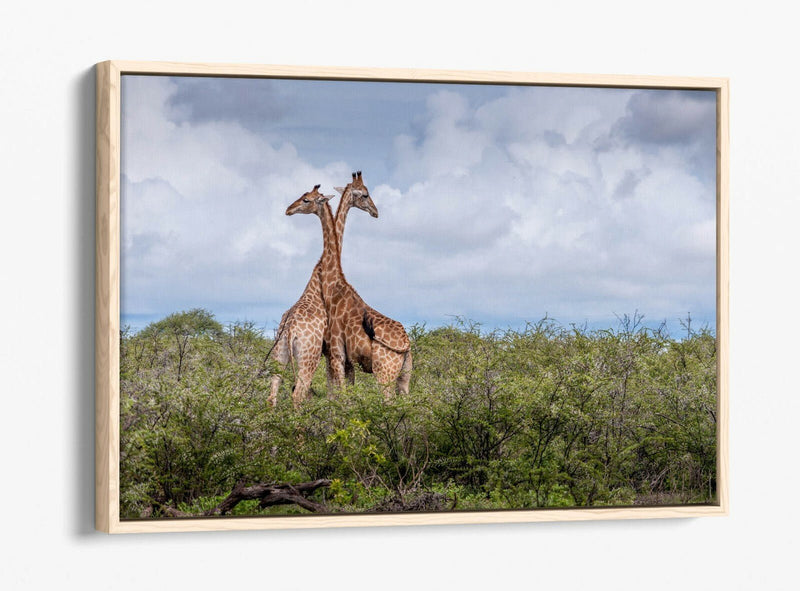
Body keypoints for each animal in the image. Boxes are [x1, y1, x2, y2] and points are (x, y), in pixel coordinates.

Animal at [266, 175, 378, 407]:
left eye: (306, 198)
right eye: (365, 195)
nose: (375, 211)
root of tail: (290, 331)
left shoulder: (330, 354)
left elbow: (331, 393)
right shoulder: (332, 353)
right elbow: (335, 393)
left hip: (279, 355)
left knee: (272, 395)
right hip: (308, 357)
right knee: (298, 394)